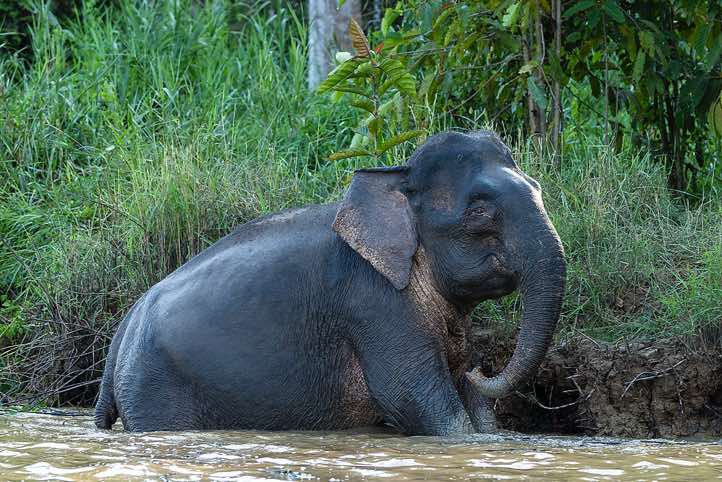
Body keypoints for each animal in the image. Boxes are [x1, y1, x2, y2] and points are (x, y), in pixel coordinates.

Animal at [94, 130, 566, 435]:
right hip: (155, 385)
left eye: (538, 187)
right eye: (480, 212)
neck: (393, 177)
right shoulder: (374, 305)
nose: (482, 367)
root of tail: (125, 326)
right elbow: (411, 396)